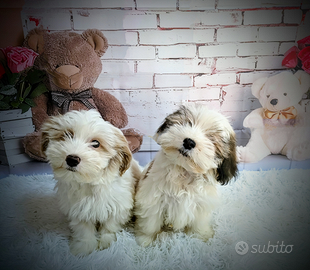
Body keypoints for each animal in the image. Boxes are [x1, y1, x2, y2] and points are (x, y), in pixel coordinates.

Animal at [40, 109, 141, 255]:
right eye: (67, 134)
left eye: (96, 143)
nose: (72, 159)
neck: (90, 181)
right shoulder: (78, 209)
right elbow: (83, 229)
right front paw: (84, 247)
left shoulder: (118, 206)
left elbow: (110, 225)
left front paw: (106, 243)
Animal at [134, 104, 239, 247]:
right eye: (188, 123)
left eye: (211, 138)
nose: (189, 142)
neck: (184, 171)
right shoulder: (153, 199)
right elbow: (151, 221)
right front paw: (146, 239)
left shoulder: (201, 204)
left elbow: (199, 222)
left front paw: (201, 236)